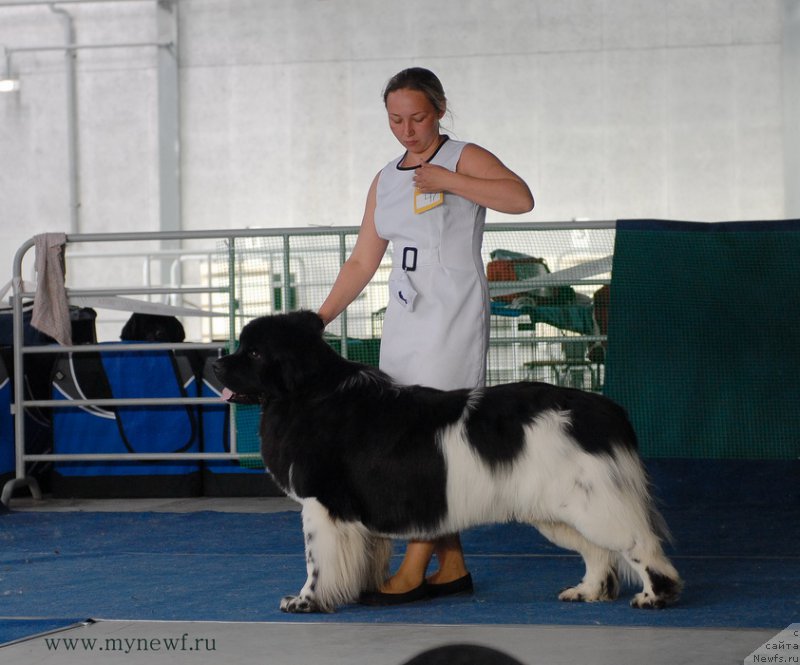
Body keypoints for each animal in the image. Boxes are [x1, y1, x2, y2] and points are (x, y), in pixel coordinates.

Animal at [214, 312, 680, 612]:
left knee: (640, 544)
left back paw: (654, 597)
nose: (215, 363)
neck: (309, 394)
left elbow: (316, 561)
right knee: (597, 552)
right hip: (560, 509)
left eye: (253, 354)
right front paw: (361, 591)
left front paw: (304, 601)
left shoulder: (322, 505)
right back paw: (585, 592)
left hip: (593, 502)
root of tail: (604, 410)